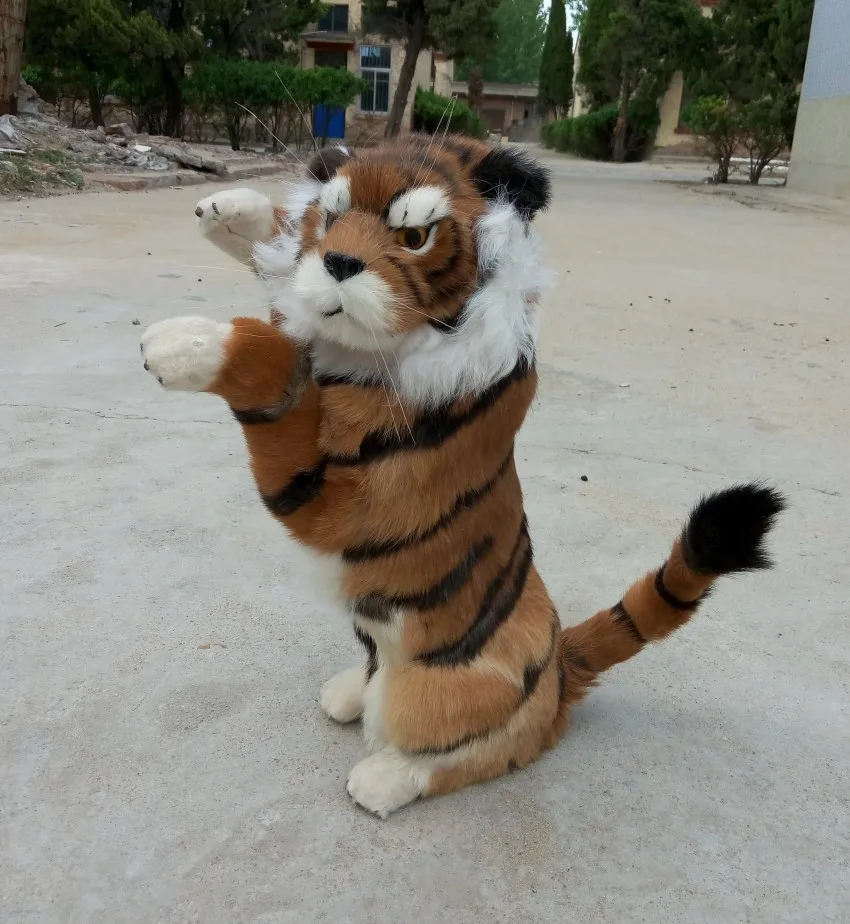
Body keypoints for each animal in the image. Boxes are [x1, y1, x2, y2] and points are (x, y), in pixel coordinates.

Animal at [140, 135, 785, 818]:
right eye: (332, 217)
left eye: (415, 236)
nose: (337, 260)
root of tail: (558, 667)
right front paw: (236, 211)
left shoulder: (347, 501)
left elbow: (274, 364)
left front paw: (185, 343)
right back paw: (348, 691)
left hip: (433, 691)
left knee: (471, 751)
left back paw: (384, 778)